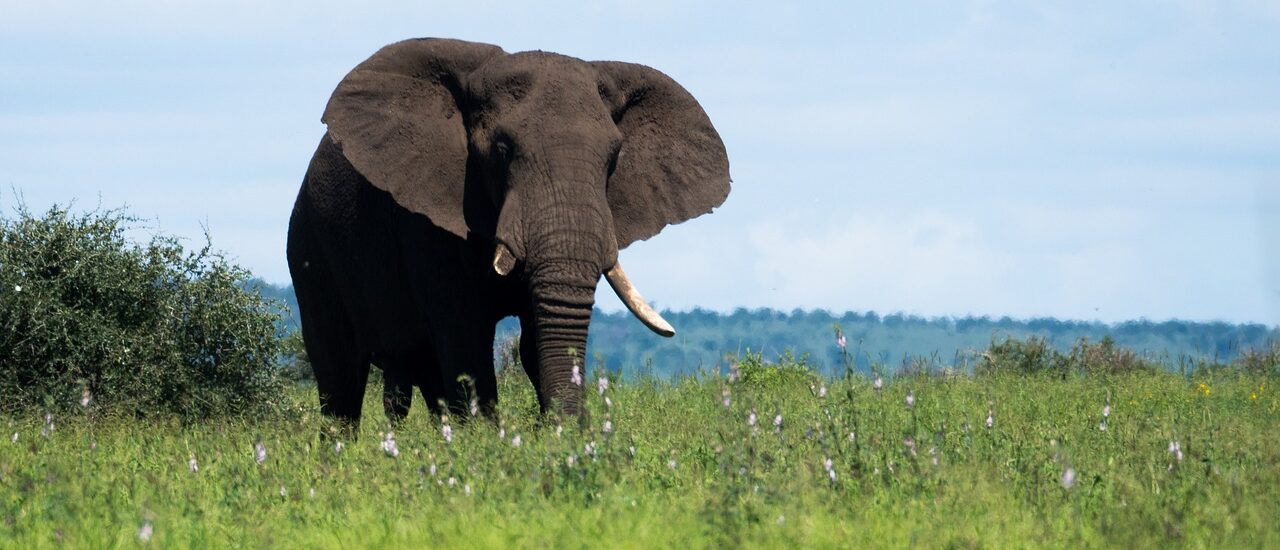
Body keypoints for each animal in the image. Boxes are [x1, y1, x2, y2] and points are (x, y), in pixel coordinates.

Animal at [290, 37, 732, 429]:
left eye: (614, 159)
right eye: (501, 150)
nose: (570, 428)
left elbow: (534, 339)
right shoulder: (424, 221)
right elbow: (465, 340)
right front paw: (488, 445)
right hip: (309, 248)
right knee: (340, 379)